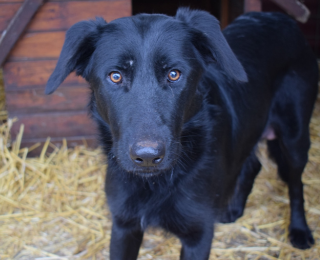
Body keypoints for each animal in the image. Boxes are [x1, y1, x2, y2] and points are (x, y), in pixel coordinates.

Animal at [45, 8, 318, 260]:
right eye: (115, 76)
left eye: (174, 74)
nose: (147, 157)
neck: (155, 183)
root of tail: (278, 15)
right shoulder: (124, 226)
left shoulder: (198, 235)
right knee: (252, 164)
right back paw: (233, 209)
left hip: (295, 138)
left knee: (296, 183)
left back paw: (300, 230)